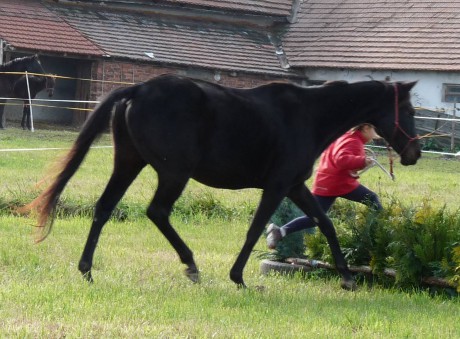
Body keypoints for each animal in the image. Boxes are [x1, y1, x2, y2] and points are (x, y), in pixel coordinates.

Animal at [24, 75, 420, 290]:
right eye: (409, 110)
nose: (414, 153)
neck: (307, 115)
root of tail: (138, 90)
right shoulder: (277, 186)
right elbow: (255, 229)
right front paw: (238, 277)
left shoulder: (295, 186)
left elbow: (325, 223)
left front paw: (347, 278)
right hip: (173, 172)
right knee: (158, 212)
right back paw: (191, 265)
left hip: (129, 162)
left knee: (105, 208)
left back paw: (87, 270)